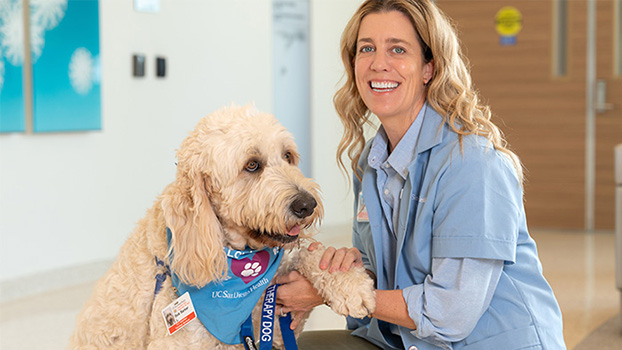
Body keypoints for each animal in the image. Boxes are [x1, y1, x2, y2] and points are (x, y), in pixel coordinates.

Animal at [71, 105, 378, 348]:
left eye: (288, 156)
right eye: (252, 165)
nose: (307, 204)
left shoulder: (272, 327)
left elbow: (305, 254)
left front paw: (349, 283)